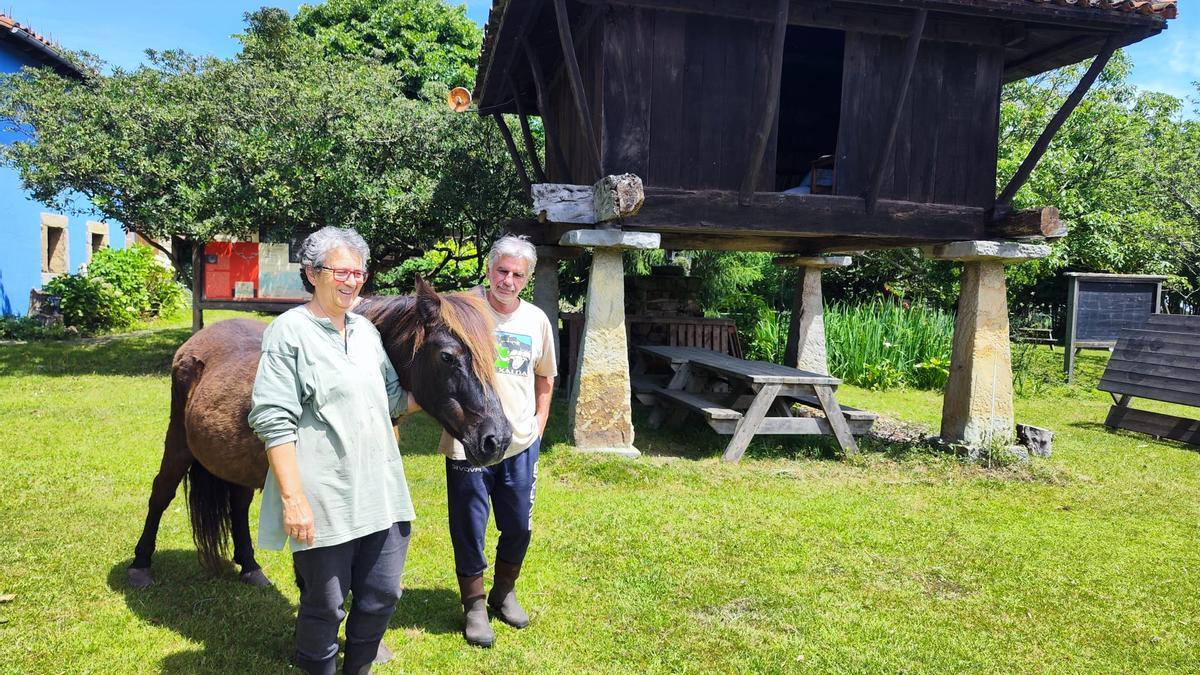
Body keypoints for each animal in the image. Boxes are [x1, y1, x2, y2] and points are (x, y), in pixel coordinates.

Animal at [127, 278, 511, 583]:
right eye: (448, 356)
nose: (498, 439)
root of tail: (195, 342)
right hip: (178, 443)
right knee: (161, 493)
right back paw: (140, 565)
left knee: (237, 505)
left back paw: (250, 567)